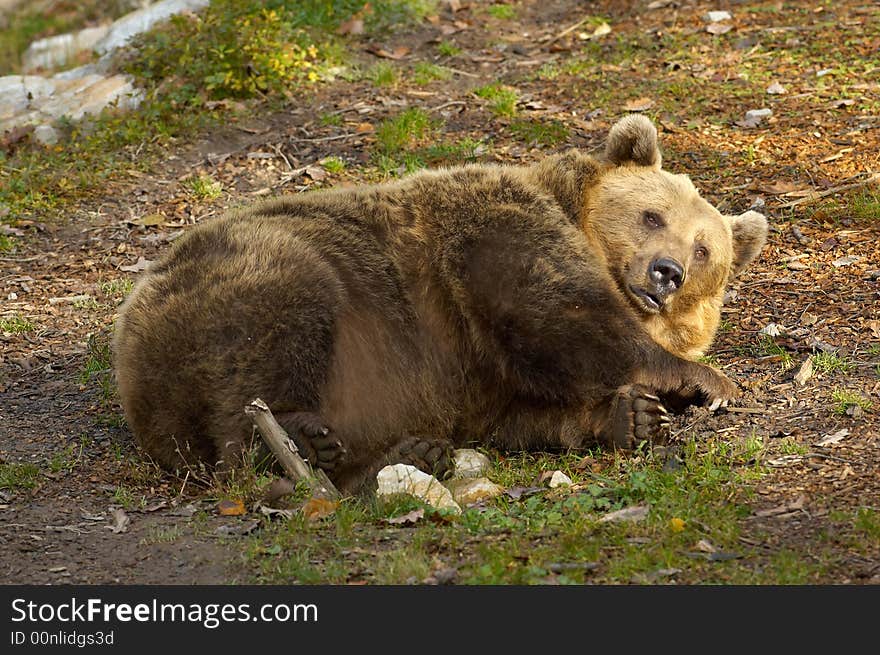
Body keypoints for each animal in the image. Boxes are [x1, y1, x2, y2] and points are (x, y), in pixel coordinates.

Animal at [113, 115, 768, 494]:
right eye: (652, 215)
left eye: (704, 248)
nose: (667, 272)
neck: (574, 219)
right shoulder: (493, 236)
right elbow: (558, 319)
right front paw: (702, 382)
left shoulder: (476, 374)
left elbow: (518, 412)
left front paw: (632, 415)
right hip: (253, 280)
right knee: (269, 346)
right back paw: (295, 443)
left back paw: (408, 452)